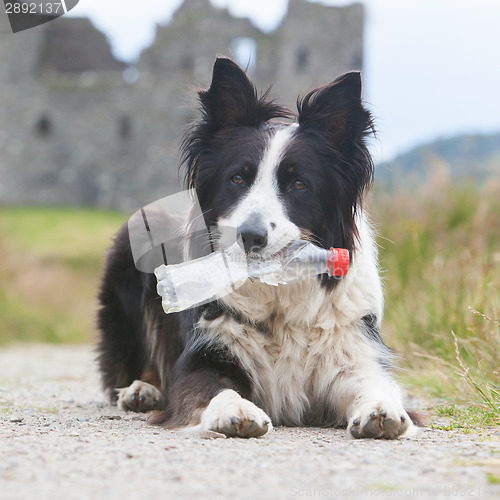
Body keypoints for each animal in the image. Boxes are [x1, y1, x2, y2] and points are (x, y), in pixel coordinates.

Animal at [96, 57, 414, 438]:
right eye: (237, 178)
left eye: (299, 184)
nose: (249, 236)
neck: (277, 299)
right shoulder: (203, 357)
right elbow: (211, 388)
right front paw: (236, 410)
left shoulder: (352, 354)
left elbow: (374, 383)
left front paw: (382, 409)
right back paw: (142, 390)